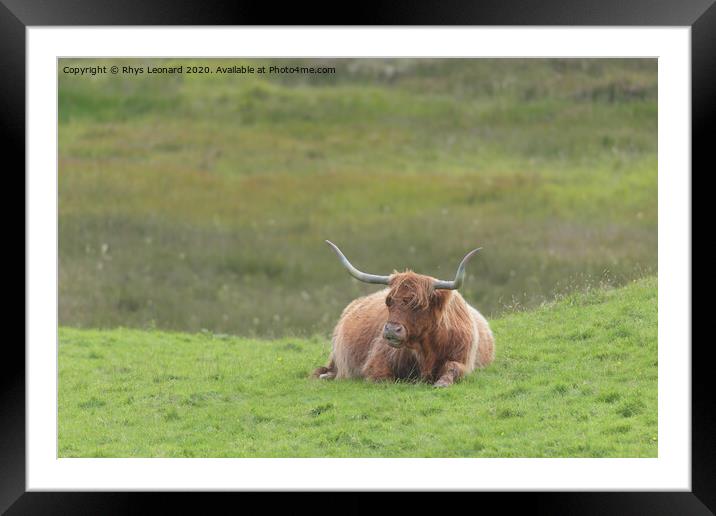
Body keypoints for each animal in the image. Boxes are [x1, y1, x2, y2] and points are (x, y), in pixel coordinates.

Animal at [314, 242, 498, 388]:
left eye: (417, 305)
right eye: (389, 302)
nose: (391, 330)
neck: (426, 349)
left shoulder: (464, 359)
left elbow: (453, 368)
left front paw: (442, 383)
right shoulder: (377, 362)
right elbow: (383, 378)